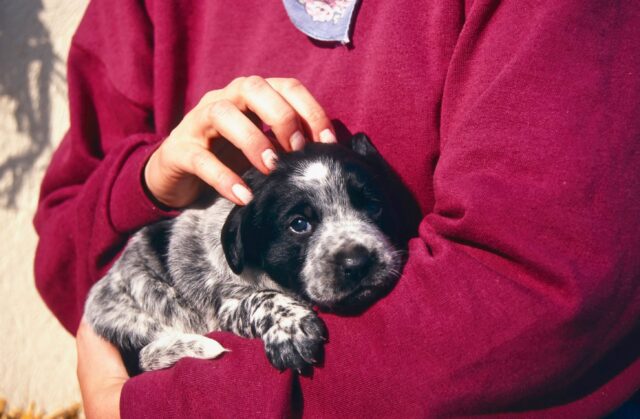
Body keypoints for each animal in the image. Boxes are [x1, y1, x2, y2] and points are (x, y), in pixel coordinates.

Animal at [82, 133, 418, 372]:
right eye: (299, 224)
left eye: (374, 206)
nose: (357, 263)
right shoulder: (226, 306)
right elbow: (260, 299)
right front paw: (289, 326)